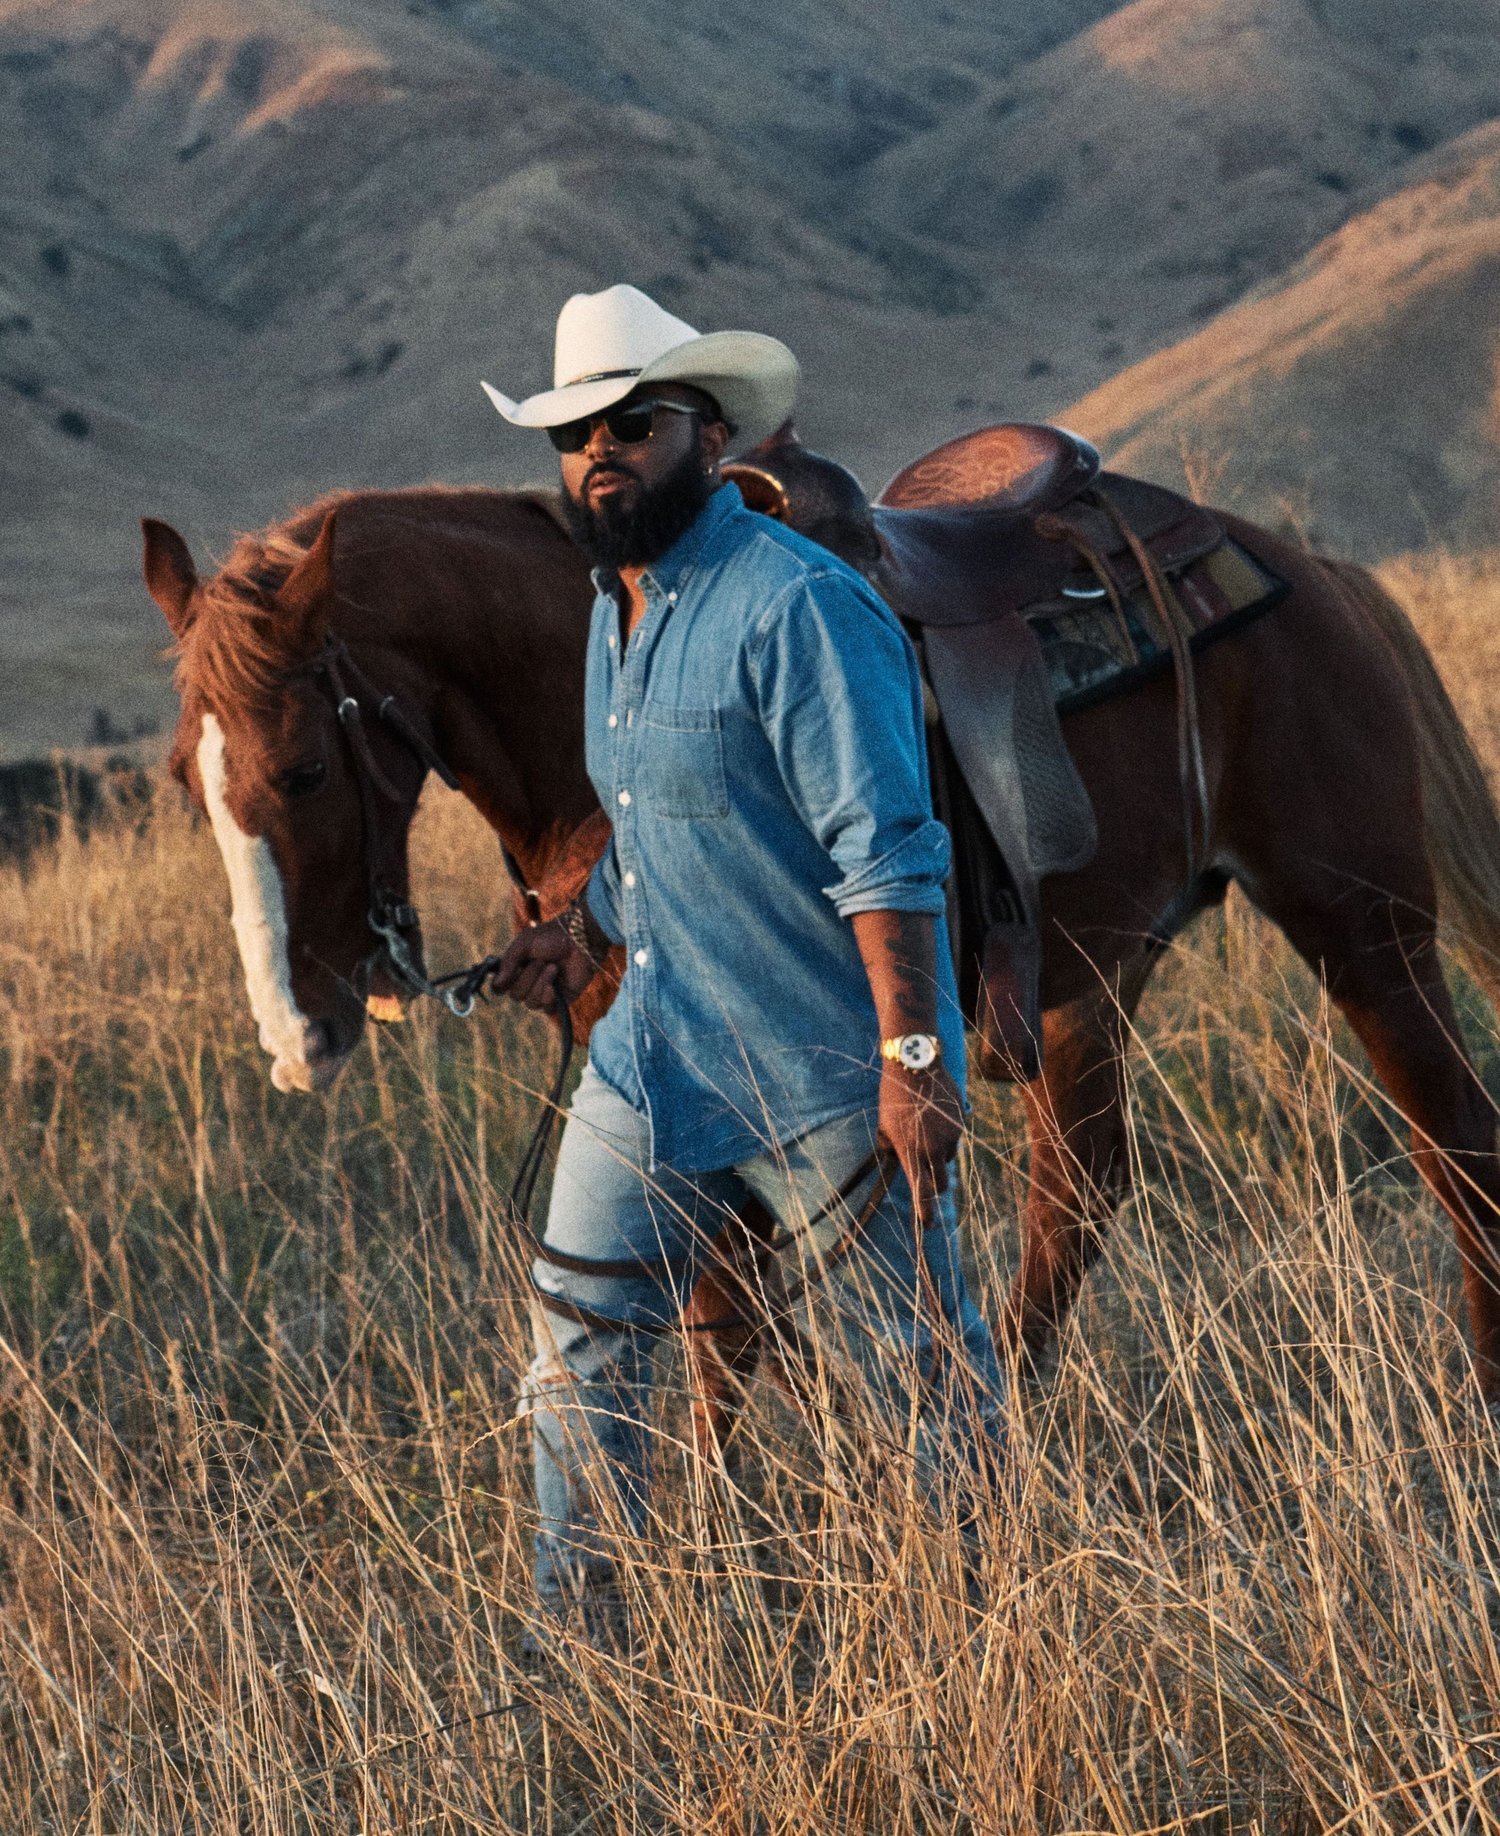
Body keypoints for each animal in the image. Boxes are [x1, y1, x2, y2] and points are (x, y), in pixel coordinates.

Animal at [143, 455, 1500, 1402]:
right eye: (183, 785)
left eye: (306, 769)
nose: (297, 1040)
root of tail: (1308, 570)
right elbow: (722, 1327)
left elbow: (721, 1334)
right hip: (1088, 980)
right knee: (1078, 1194)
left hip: (1363, 928)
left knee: (1451, 1138)